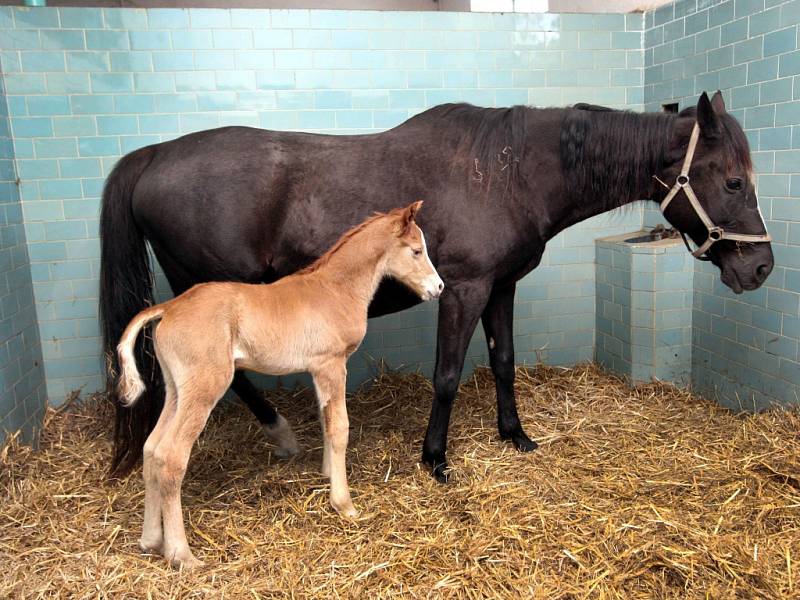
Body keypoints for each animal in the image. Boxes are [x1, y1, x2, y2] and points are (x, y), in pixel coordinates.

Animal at [101, 90, 776, 482]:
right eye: (733, 181)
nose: (760, 268)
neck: (510, 171)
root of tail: (155, 155)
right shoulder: (465, 289)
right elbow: (448, 375)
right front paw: (435, 459)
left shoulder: (501, 288)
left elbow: (502, 362)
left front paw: (515, 435)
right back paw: (282, 434)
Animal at [115, 200, 444, 568]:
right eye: (416, 250)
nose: (438, 288)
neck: (335, 289)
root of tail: (169, 308)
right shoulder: (332, 365)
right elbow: (340, 427)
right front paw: (344, 504)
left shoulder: (317, 369)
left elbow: (325, 419)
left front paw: (327, 475)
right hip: (204, 388)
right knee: (171, 456)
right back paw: (182, 554)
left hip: (176, 390)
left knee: (152, 449)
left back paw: (150, 540)